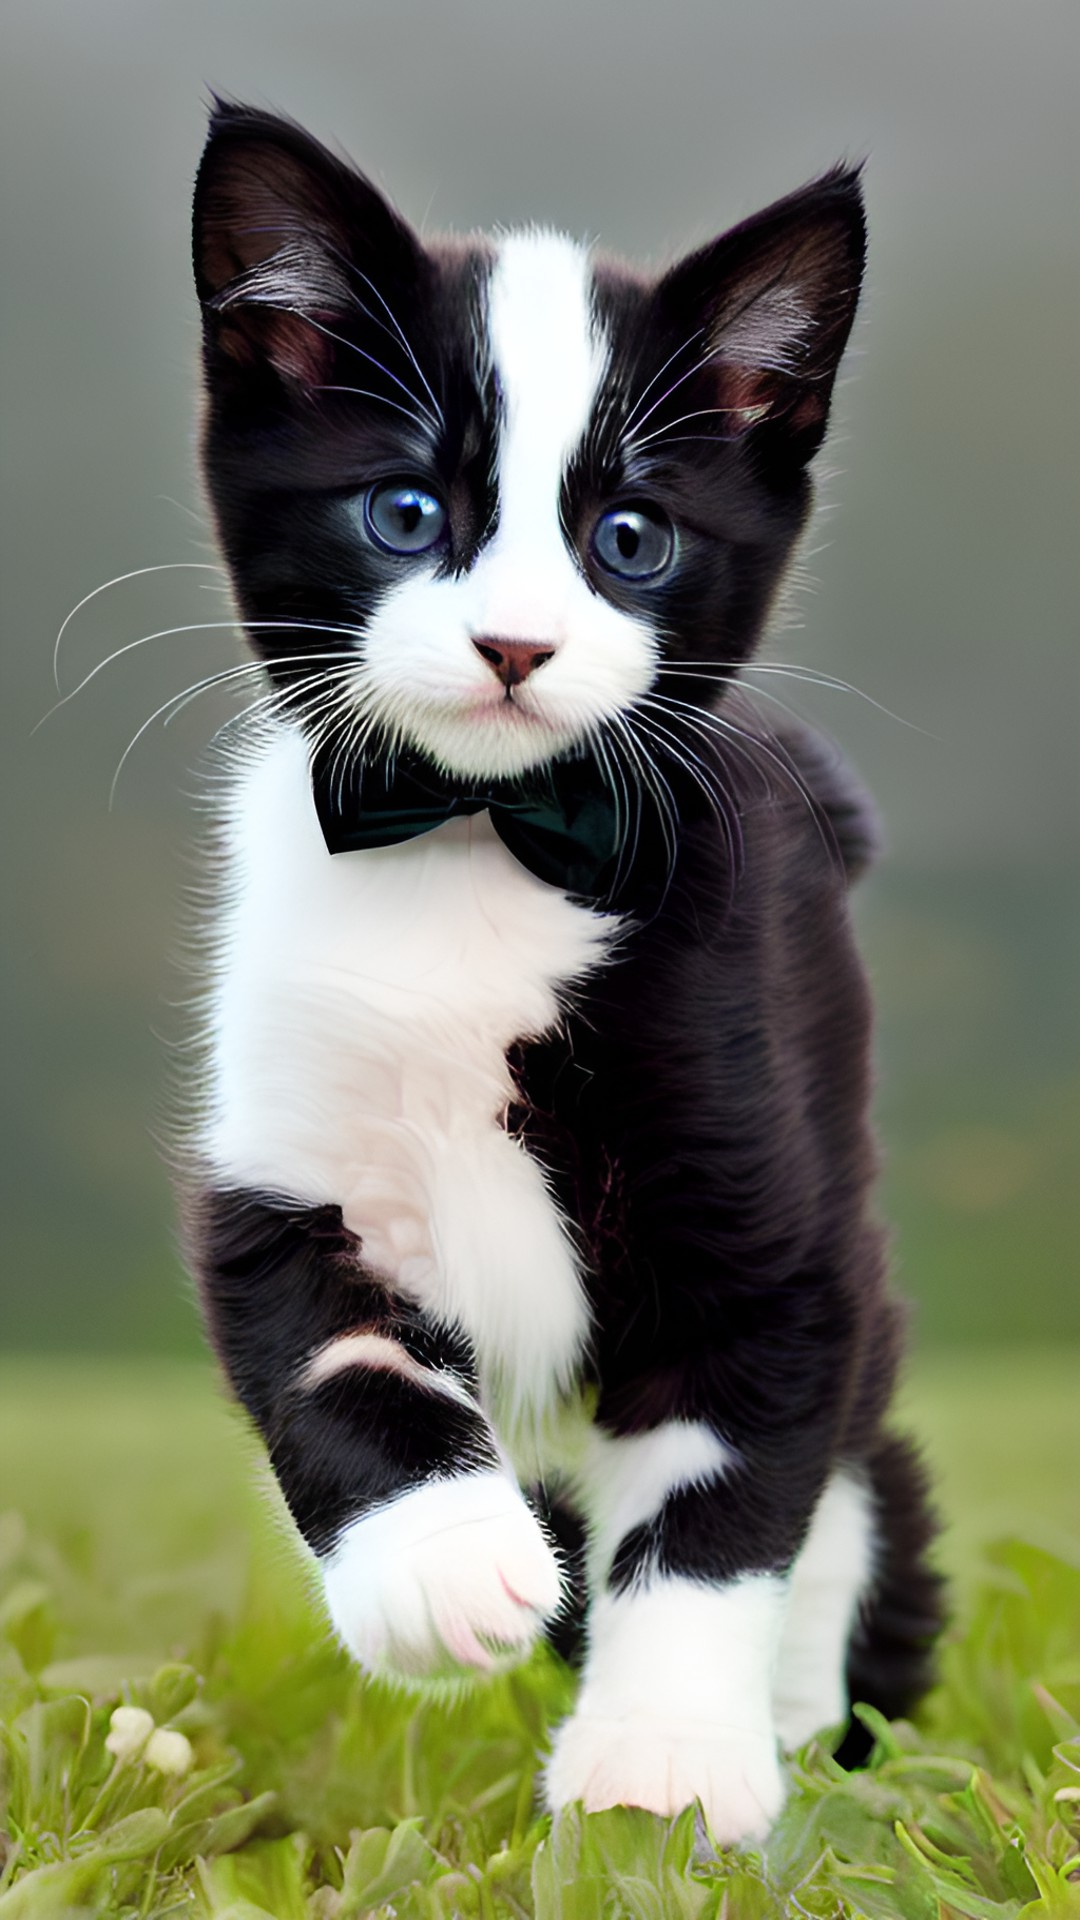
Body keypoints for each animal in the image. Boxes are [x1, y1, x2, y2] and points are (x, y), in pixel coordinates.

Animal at [187, 97, 941, 1835]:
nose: (516, 648)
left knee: (856, 1479)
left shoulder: (762, 1215)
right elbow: (327, 1346)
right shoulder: (281, 1149)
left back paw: (801, 1708)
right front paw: (442, 1571)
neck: (480, 844)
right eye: (406, 512)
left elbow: (724, 1494)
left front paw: (663, 1768)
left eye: (630, 539)